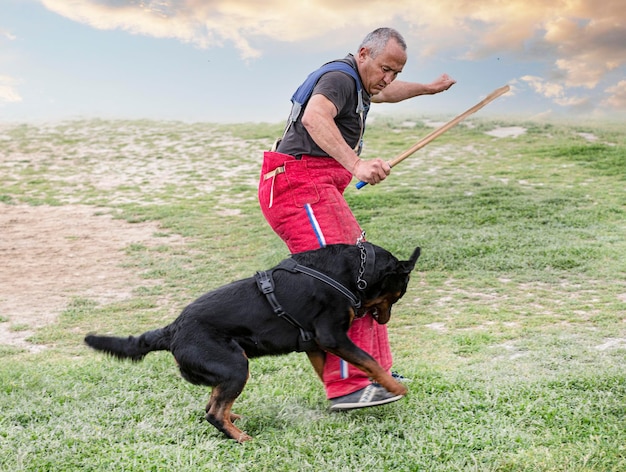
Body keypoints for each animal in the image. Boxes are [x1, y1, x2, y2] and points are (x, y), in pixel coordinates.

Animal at [85, 243, 420, 442]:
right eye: (401, 292)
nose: (384, 321)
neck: (354, 272)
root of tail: (171, 330)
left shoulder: (314, 344)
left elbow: (332, 372)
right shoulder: (332, 336)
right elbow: (370, 361)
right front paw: (395, 387)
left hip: (227, 369)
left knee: (212, 403)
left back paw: (234, 418)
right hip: (236, 366)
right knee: (212, 412)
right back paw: (241, 436)